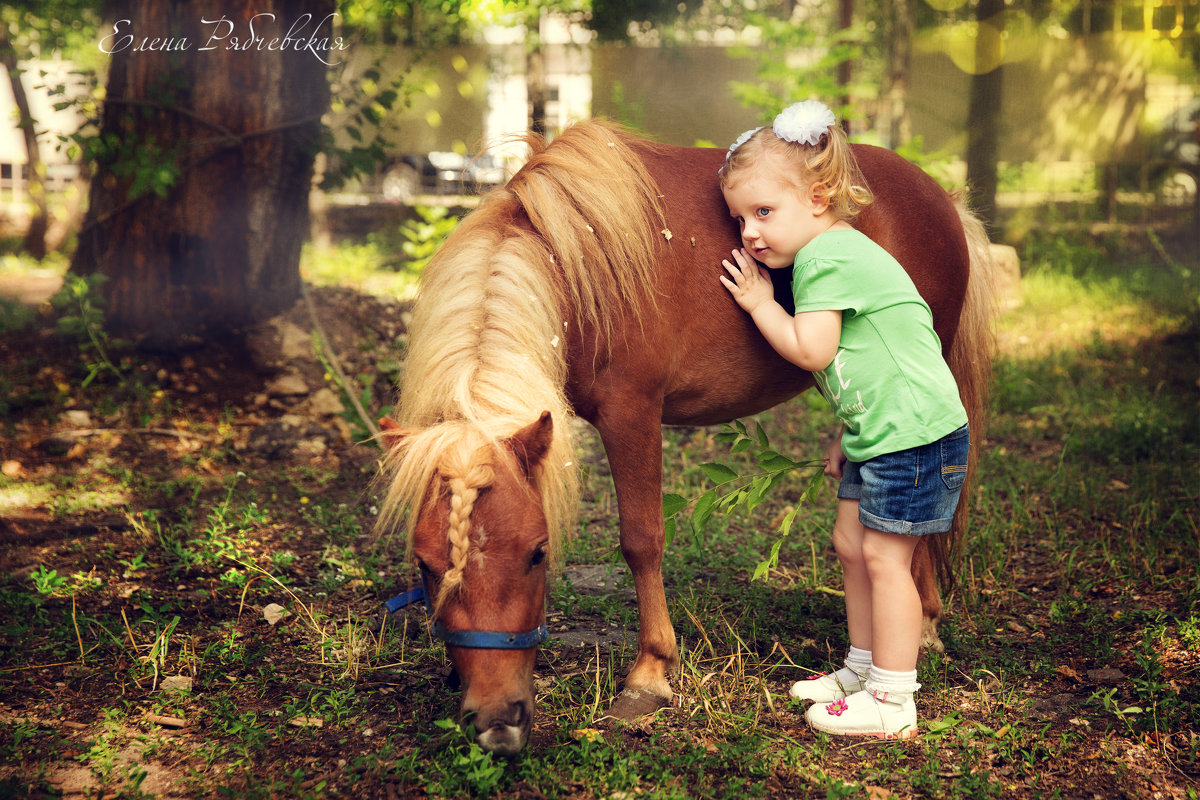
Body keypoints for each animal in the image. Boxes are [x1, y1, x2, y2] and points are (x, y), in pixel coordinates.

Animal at [376, 118, 993, 758]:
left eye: (538, 553)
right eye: (423, 563)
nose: (498, 722)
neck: (575, 264)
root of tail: (942, 197)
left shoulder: (632, 413)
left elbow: (642, 541)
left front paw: (650, 675)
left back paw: (922, 631)